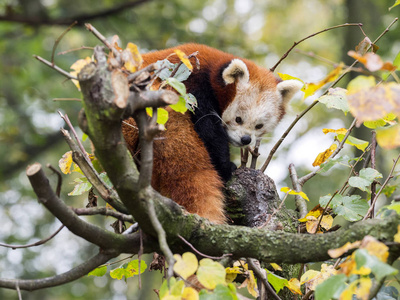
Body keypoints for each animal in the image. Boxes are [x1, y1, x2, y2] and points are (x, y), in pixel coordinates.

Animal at [121, 43, 300, 224]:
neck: (212, 70)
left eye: (259, 126)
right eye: (238, 119)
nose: (245, 139)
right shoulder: (193, 88)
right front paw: (226, 166)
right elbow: (209, 131)